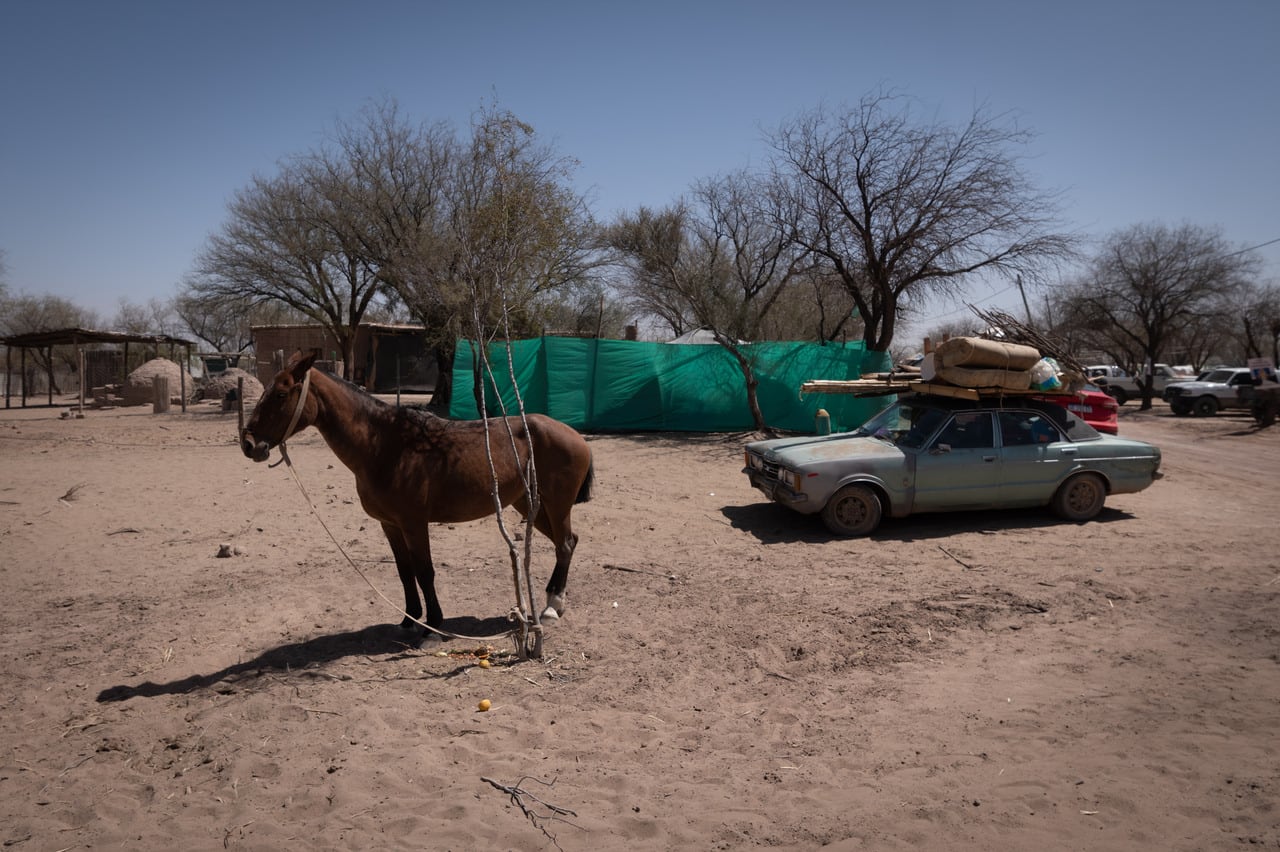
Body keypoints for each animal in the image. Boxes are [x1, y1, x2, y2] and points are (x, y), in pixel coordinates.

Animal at [240, 347, 593, 639]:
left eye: (280, 394)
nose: (248, 444)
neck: (385, 445)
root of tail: (575, 435)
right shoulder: (390, 524)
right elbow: (405, 571)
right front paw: (410, 619)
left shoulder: (414, 523)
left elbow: (425, 572)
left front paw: (434, 625)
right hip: (527, 503)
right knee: (568, 542)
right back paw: (553, 600)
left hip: (556, 505)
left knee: (564, 543)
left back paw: (551, 607)